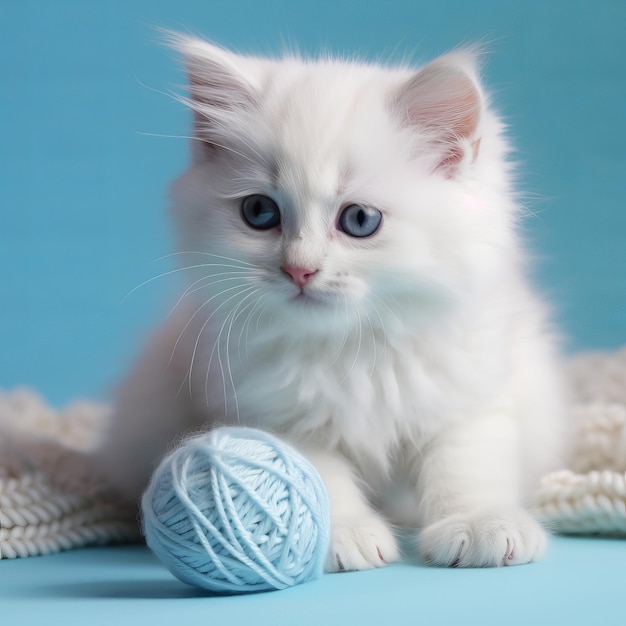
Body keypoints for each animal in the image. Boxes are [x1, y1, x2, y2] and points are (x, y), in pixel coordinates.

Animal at [92, 35, 564, 572]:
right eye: (260, 212)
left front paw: (480, 523)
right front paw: (342, 536)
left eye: (359, 220)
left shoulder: (470, 397)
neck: (353, 348)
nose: (299, 270)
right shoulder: (277, 414)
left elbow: (467, 465)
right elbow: (315, 477)